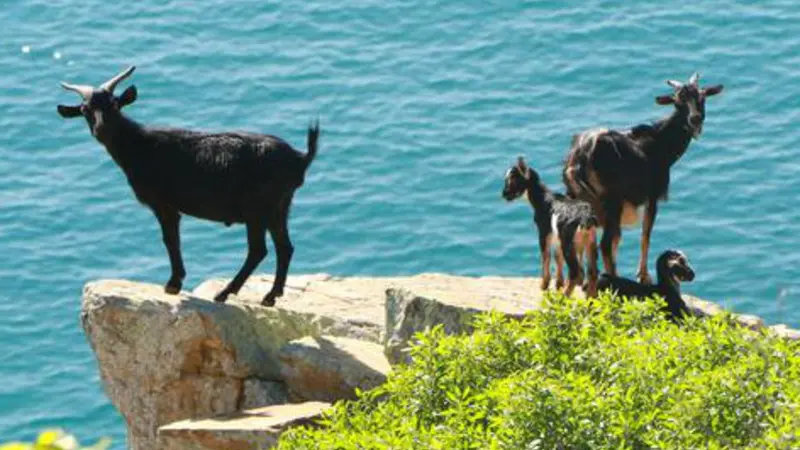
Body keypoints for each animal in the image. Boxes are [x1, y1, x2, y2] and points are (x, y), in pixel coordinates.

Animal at [57, 66, 320, 307]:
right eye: (84, 110)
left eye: (114, 104)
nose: (100, 129)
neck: (139, 145)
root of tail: (301, 158)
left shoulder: (164, 205)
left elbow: (170, 239)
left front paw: (173, 284)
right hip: (280, 207)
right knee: (285, 247)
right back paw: (270, 296)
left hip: (258, 208)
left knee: (258, 250)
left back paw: (225, 293)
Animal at [503, 156, 598, 297]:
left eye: (513, 180)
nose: (504, 194)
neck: (544, 199)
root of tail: (585, 218)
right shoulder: (556, 236)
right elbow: (557, 257)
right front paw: (558, 284)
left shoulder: (544, 232)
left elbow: (546, 255)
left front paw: (544, 285)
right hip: (590, 242)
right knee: (592, 272)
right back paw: (590, 299)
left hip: (568, 242)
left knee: (575, 272)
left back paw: (564, 297)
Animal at [562, 72, 722, 284]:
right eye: (677, 102)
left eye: (702, 97)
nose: (695, 119)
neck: (660, 143)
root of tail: (581, 157)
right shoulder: (652, 195)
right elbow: (645, 234)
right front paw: (644, 276)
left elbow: (619, 239)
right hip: (612, 201)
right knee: (604, 244)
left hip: (580, 198)